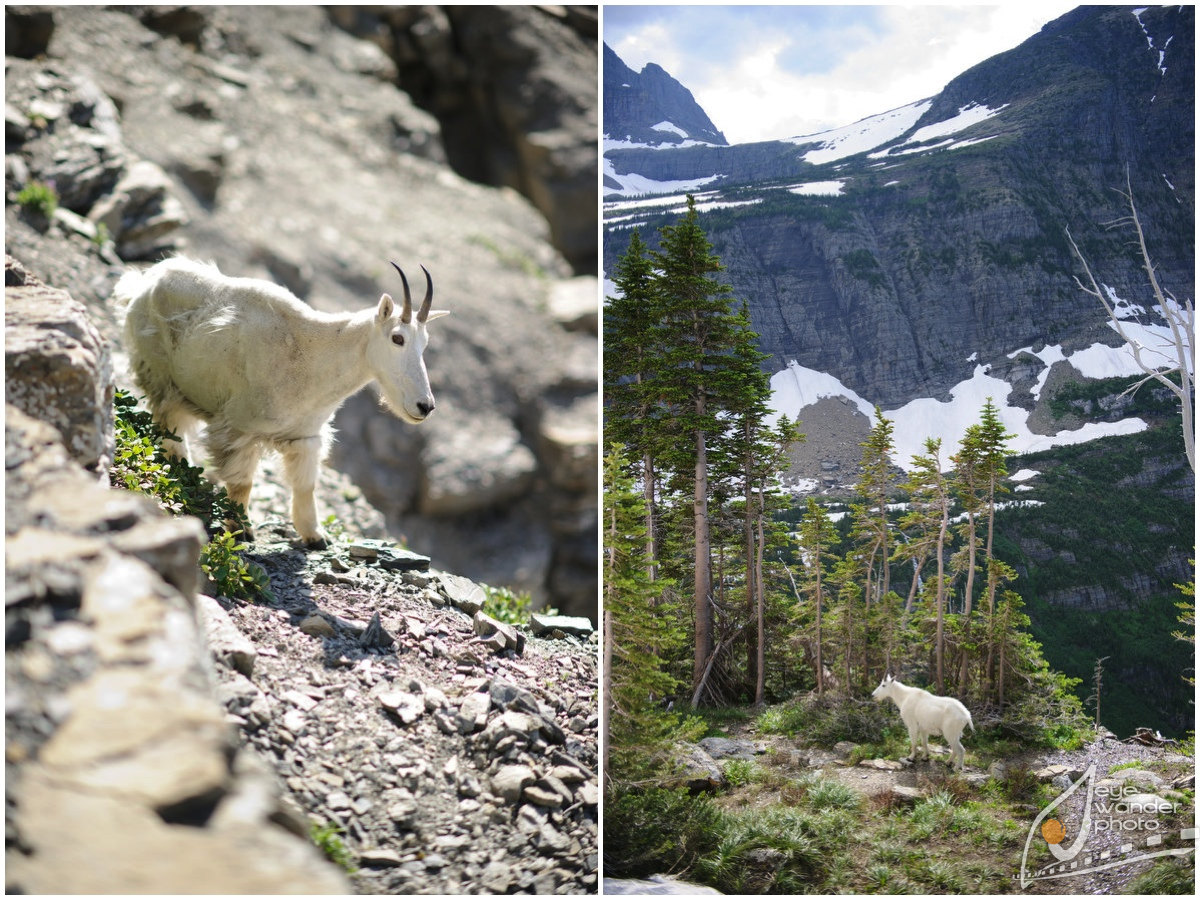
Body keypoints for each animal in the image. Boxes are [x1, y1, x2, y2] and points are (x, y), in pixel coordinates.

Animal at [115, 256, 447, 547]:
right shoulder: (239, 428)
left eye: (426, 343)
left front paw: (316, 538)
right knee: (168, 421)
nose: (425, 406)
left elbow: (305, 486)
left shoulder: (306, 437)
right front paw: (242, 530)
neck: (314, 357)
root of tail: (147, 278)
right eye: (397, 338)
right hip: (160, 374)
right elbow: (243, 483)